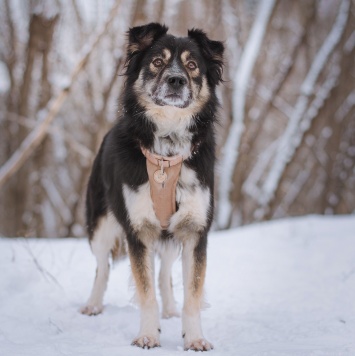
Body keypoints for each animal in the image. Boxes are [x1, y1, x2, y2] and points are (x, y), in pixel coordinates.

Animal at [82, 23, 224, 354]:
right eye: (158, 62)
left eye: (192, 65)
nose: (176, 80)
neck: (167, 152)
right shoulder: (139, 231)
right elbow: (145, 293)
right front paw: (148, 336)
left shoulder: (194, 230)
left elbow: (192, 294)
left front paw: (194, 337)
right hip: (100, 224)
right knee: (101, 266)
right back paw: (93, 304)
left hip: (171, 232)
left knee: (165, 272)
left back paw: (170, 308)